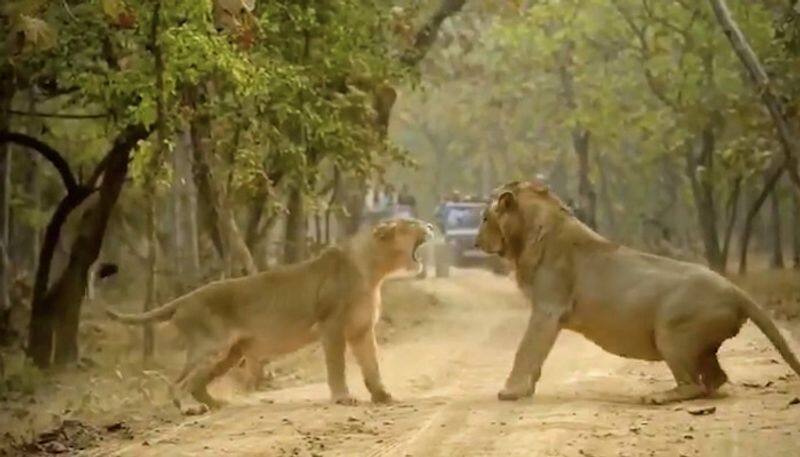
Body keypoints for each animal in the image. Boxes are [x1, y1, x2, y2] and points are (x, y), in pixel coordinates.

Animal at [109, 217, 434, 414]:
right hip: (212, 346)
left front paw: (383, 396)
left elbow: (371, 365)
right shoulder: (331, 326)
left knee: (197, 383)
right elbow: (337, 367)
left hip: (230, 354)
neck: (374, 271)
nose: (430, 225)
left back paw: (218, 404)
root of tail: (185, 298)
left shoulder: (361, 329)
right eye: (411, 224)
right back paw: (190, 409)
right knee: (178, 382)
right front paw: (343, 398)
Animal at [476, 181, 800, 402]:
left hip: (671, 333)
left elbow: (526, 349)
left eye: (484, 217)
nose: (477, 241)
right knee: (716, 378)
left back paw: (658, 397)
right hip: (699, 344)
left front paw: (511, 391)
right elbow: (534, 354)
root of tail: (735, 289)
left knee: (692, 384)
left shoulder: (548, 308)